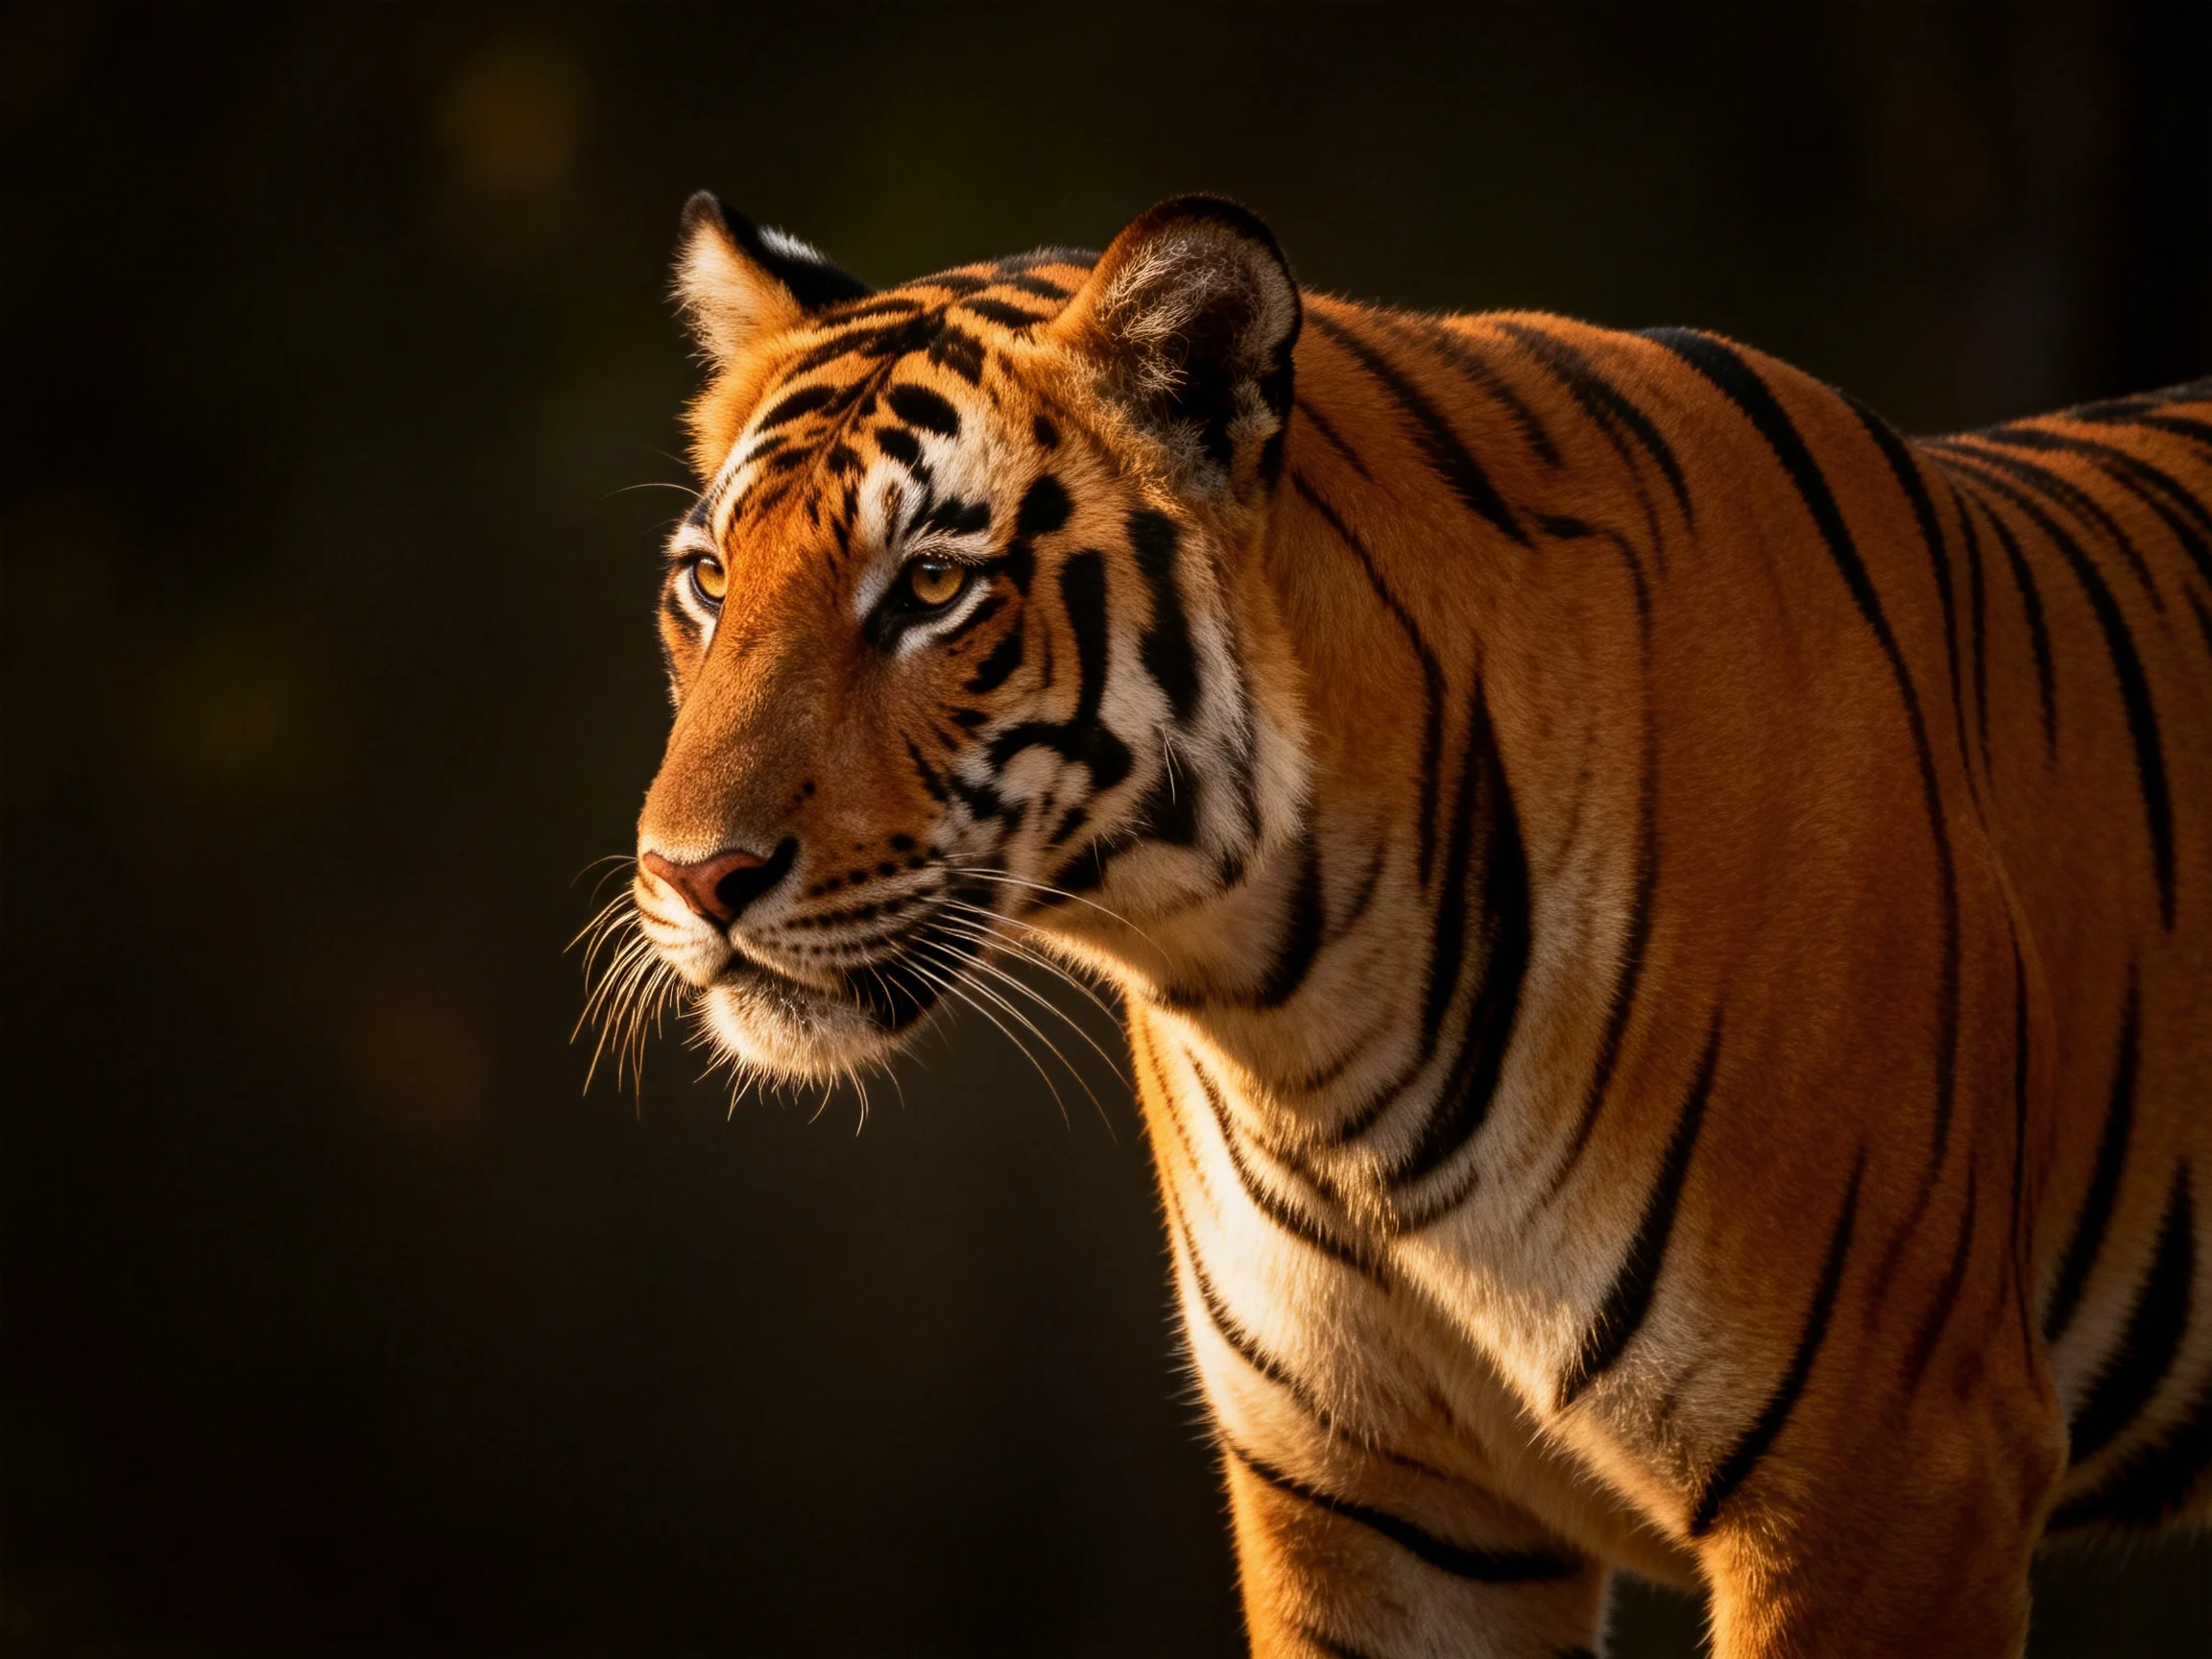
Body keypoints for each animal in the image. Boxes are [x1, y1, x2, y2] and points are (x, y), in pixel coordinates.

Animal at [608, 189, 2212, 1657]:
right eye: (708, 579)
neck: (1303, 1012)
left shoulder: (1887, 1477)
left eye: (934, 585)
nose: (688, 877)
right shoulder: (1381, 1508)